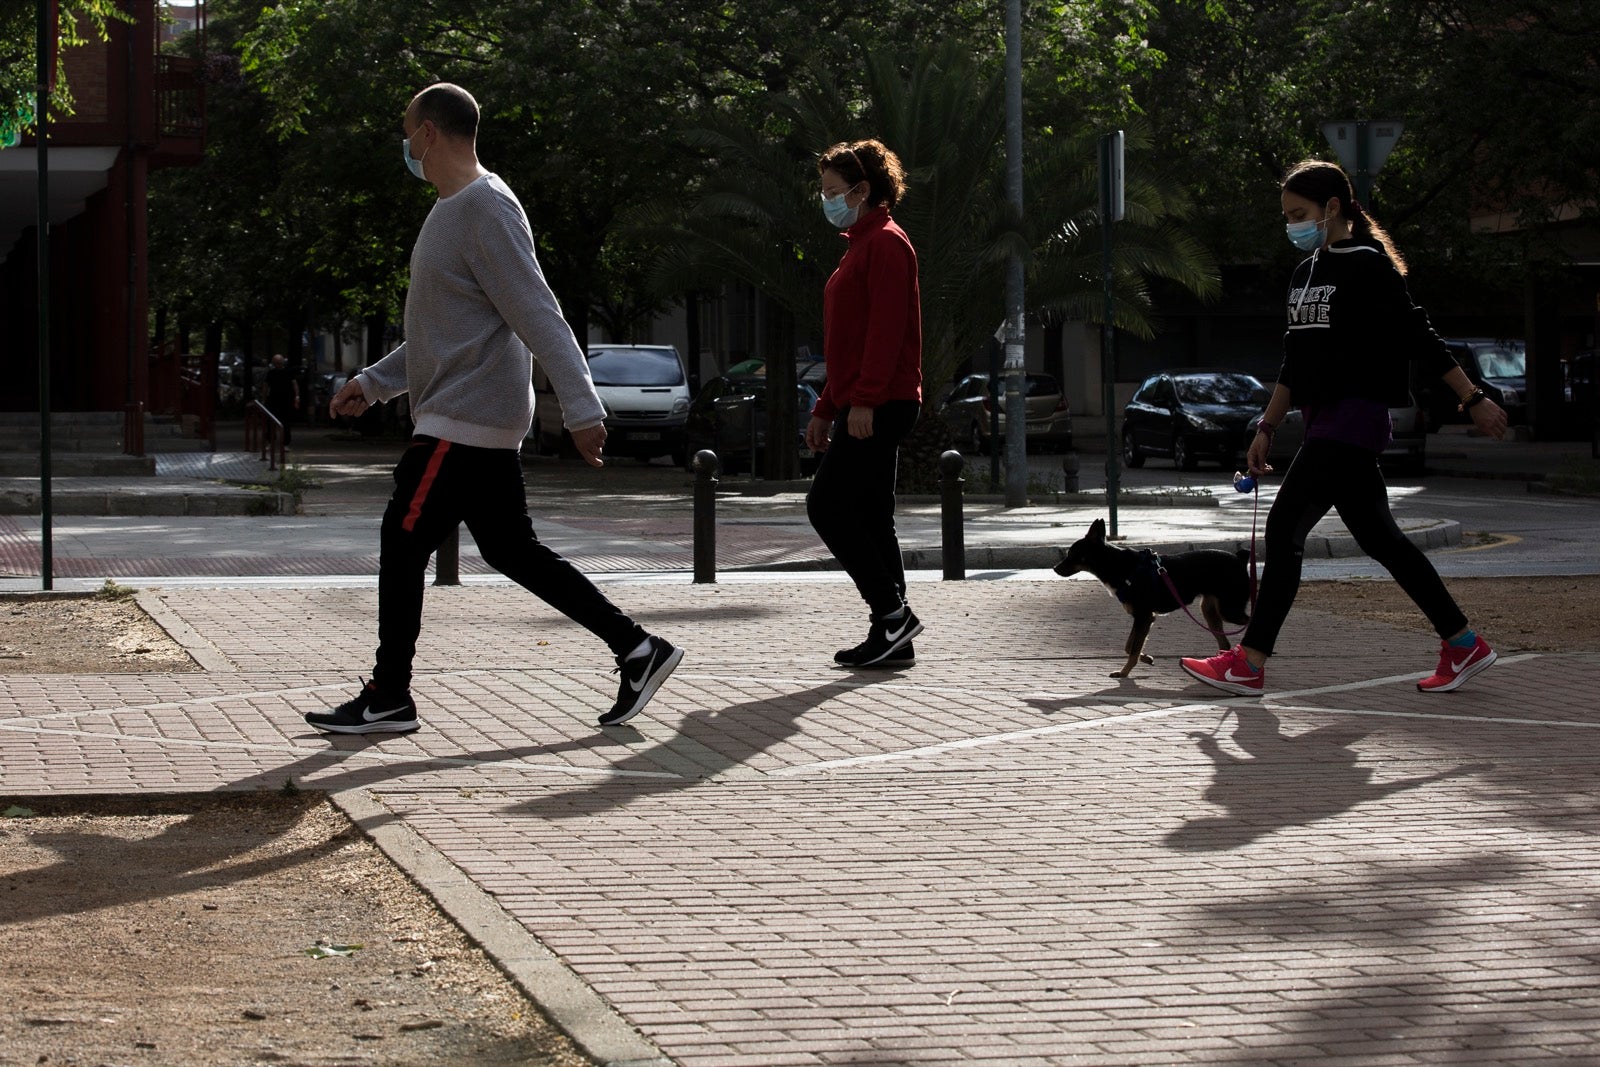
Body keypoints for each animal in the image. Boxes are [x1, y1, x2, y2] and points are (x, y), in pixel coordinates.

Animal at [1056, 521, 1254, 681]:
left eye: (1072, 554)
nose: (1055, 568)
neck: (1117, 565)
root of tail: (1240, 558)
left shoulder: (1143, 617)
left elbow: (1133, 649)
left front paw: (1124, 672)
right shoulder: (1143, 618)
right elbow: (1130, 646)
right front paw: (1145, 658)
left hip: (1229, 610)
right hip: (1210, 611)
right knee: (1225, 642)